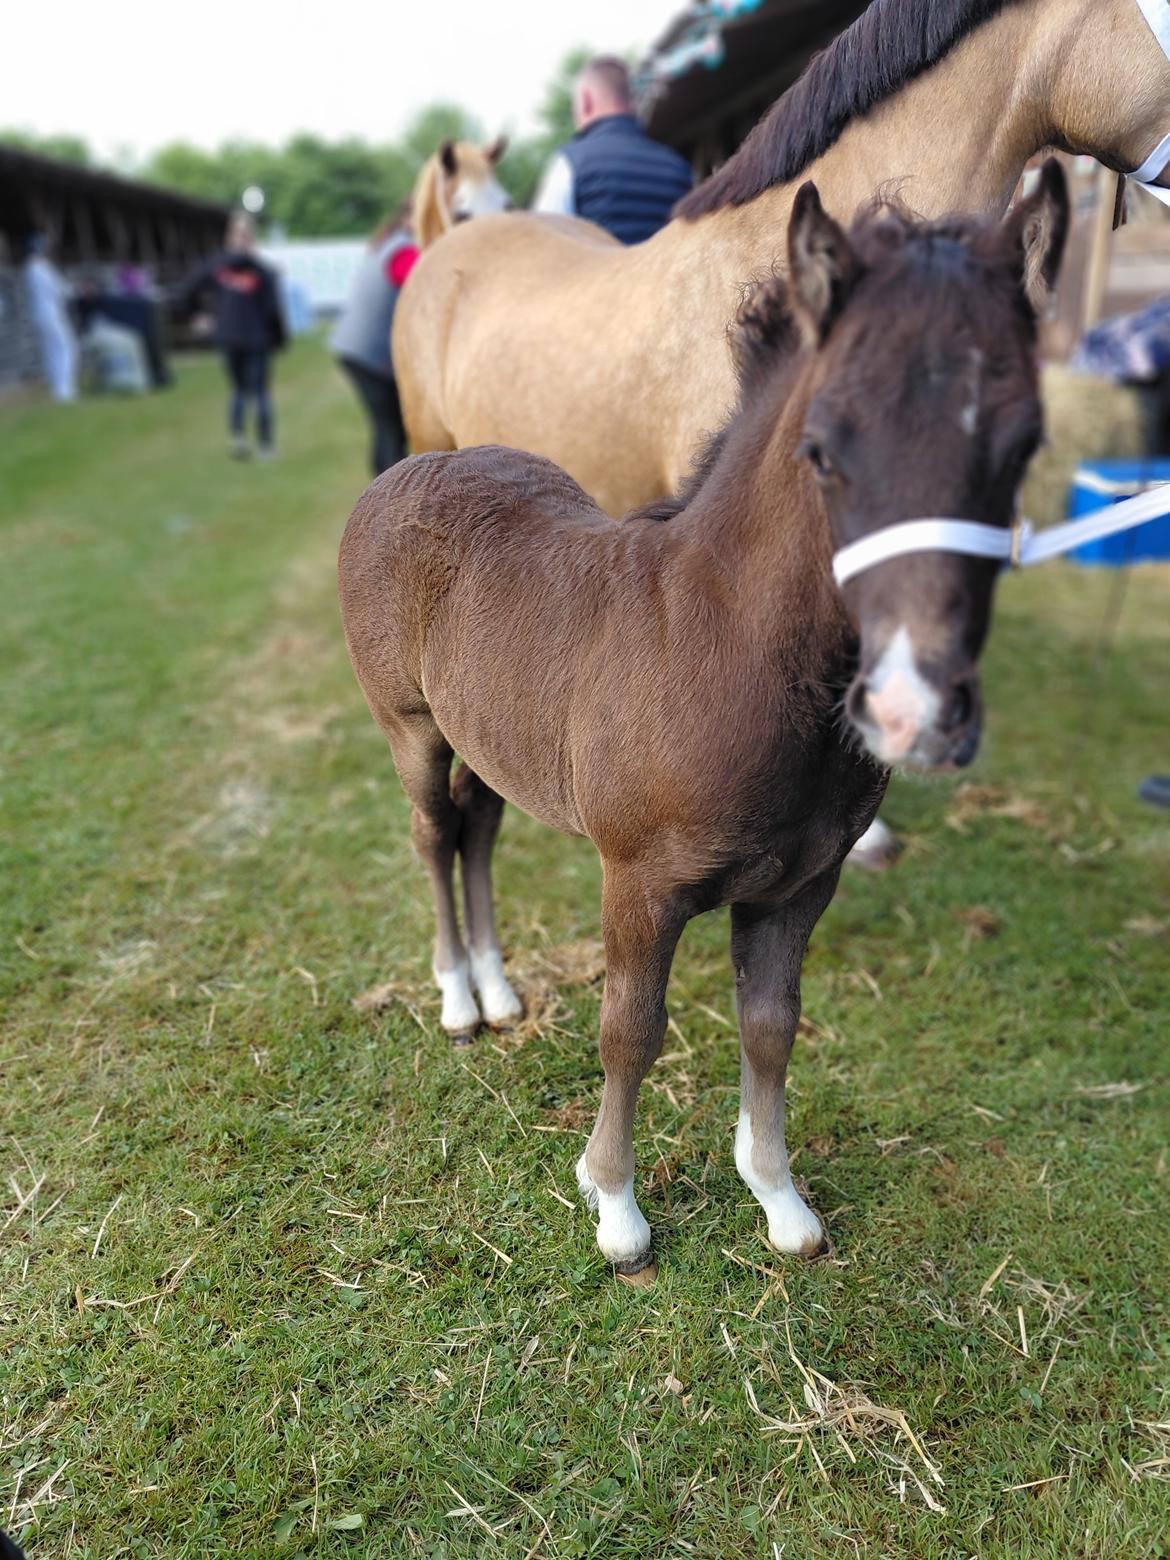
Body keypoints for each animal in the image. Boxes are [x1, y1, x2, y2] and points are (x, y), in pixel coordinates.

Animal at [340, 162, 1069, 1282]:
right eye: (823, 448)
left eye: (1024, 443)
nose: (917, 710)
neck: (731, 655)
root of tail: (409, 469)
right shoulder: (640, 884)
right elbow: (630, 1031)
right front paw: (614, 1208)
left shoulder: (799, 885)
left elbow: (771, 1025)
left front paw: (779, 1197)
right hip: (411, 727)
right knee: (431, 832)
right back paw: (460, 999)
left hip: (490, 741)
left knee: (479, 828)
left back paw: (501, 992)